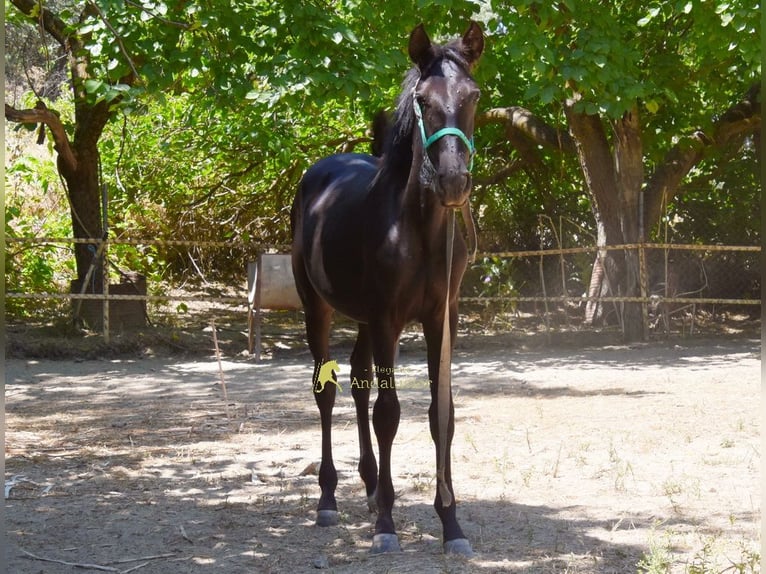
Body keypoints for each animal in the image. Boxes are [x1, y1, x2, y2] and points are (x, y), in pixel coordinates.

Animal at [290, 21, 483, 557]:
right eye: (423, 99)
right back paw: (329, 499)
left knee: (357, 379)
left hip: (361, 318)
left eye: (473, 96)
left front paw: (451, 525)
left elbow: (442, 414)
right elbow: (389, 413)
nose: (453, 181)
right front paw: (385, 527)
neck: (417, 229)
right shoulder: (387, 320)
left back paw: (373, 483)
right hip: (319, 308)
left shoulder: (442, 319)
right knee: (328, 390)